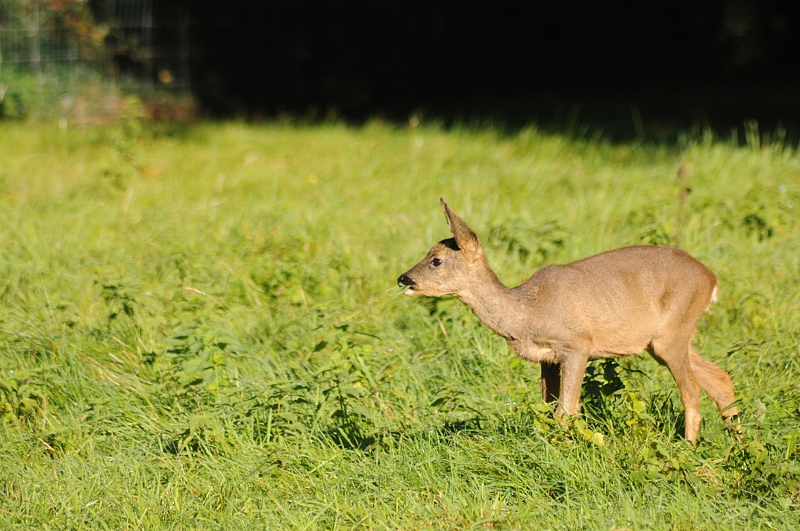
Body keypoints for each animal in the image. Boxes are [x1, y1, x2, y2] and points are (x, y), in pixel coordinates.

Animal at [397, 199, 738, 444]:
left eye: (436, 260)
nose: (404, 278)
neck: (527, 312)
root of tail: (712, 279)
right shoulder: (547, 359)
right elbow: (548, 409)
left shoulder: (577, 344)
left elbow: (566, 411)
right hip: (664, 340)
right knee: (721, 379)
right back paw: (737, 444)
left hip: (673, 332)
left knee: (692, 390)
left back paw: (689, 449)